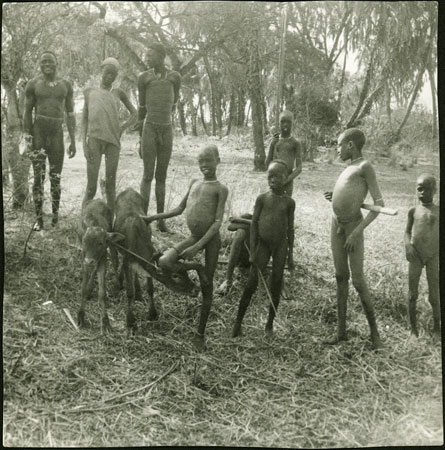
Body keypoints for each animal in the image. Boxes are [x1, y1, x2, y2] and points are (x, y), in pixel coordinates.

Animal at [77, 199, 123, 332]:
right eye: (84, 241)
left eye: (100, 243)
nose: (89, 261)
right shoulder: (84, 257)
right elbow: (83, 288)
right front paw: (80, 316)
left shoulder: (103, 256)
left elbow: (102, 293)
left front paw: (105, 321)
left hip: (111, 244)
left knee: (114, 259)